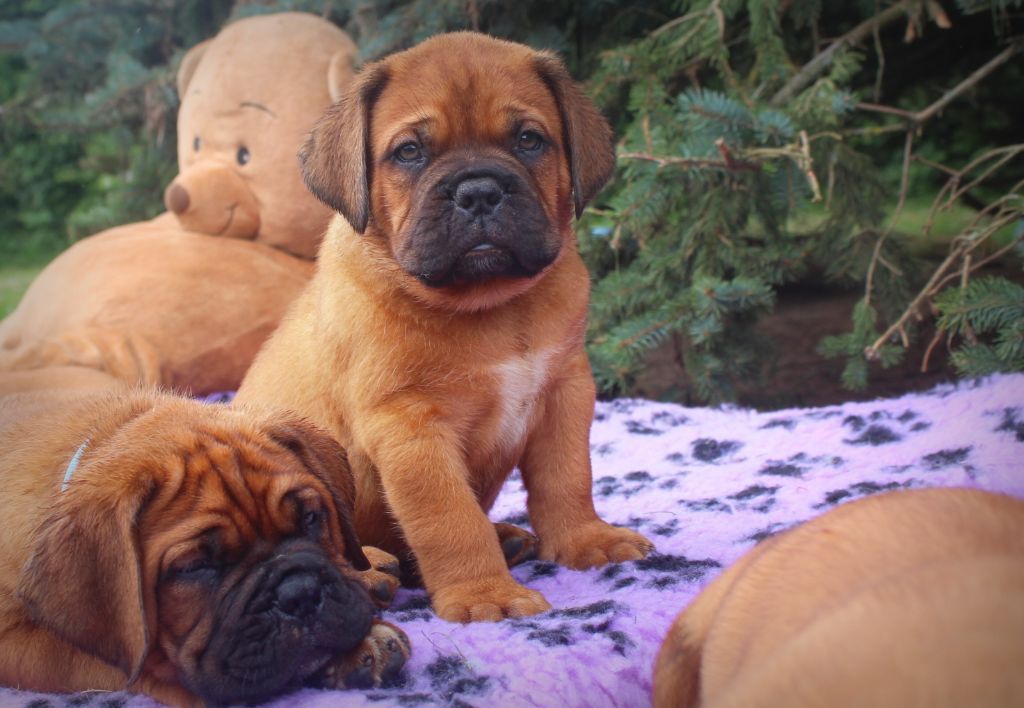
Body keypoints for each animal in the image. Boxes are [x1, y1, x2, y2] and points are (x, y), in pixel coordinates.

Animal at [235, 33, 651, 618]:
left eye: (528, 140)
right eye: (410, 152)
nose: (478, 192)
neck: (492, 307)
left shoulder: (565, 392)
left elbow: (568, 477)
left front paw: (586, 539)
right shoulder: (410, 426)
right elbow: (450, 519)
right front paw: (486, 594)